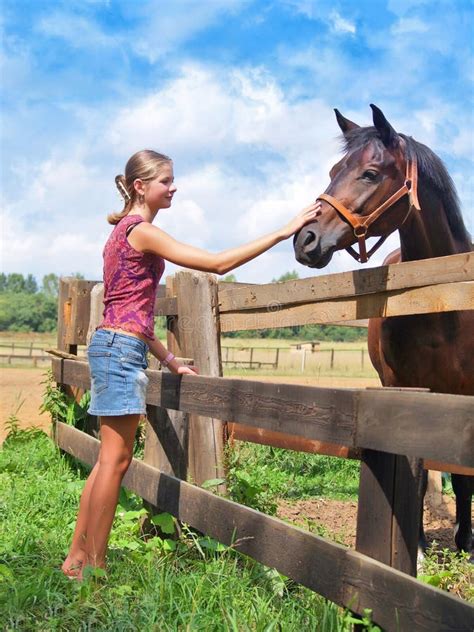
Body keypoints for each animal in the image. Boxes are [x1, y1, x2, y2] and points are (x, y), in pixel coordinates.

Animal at [294, 105, 472, 556]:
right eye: (333, 170)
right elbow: (417, 469)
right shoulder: (402, 388)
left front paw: (465, 540)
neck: (440, 302)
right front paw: (419, 544)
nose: (305, 240)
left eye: (370, 173)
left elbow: (464, 475)